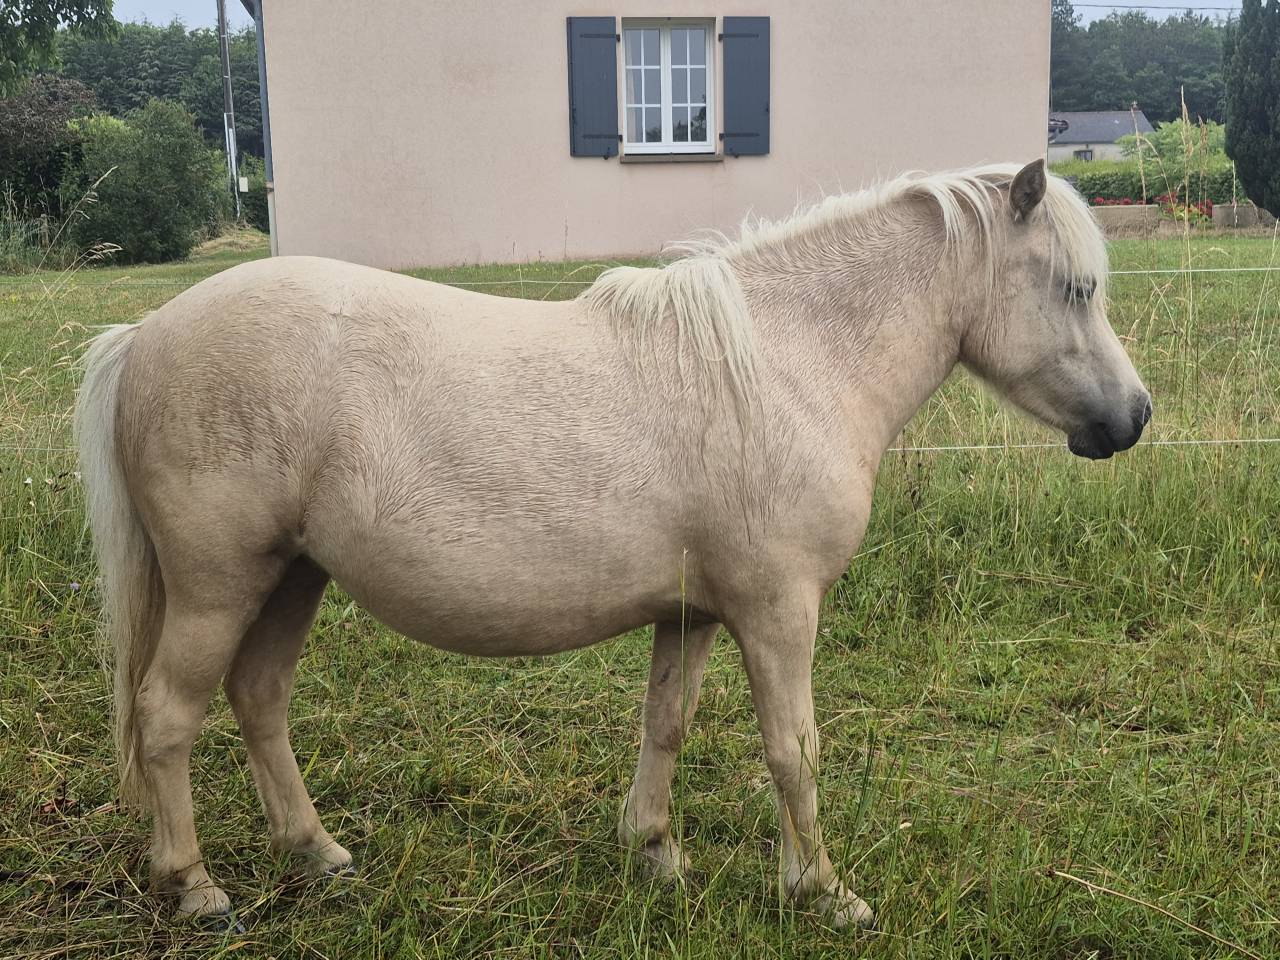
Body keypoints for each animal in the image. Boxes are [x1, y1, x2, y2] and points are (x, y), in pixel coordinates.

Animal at [74, 159, 1150, 927]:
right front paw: (823, 891)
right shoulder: (777, 613)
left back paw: (319, 854)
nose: (1132, 418)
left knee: (258, 699)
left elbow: (665, 727)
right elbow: (792, 750)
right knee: (166, 717)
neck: (785, 362)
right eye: (1074, 288)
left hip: (292, 576)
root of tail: (144, 336)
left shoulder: (695, 613)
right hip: (220, 585)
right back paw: (196, 887)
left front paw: (656, 855)